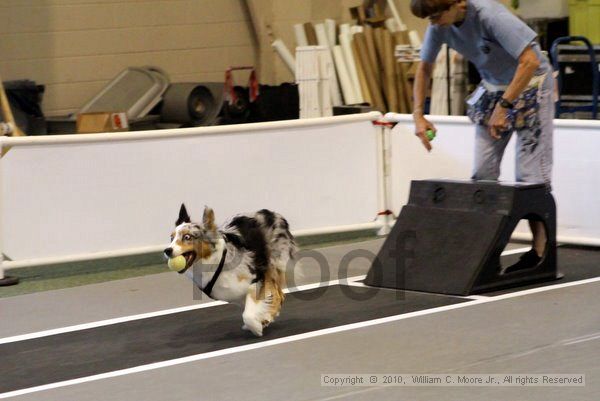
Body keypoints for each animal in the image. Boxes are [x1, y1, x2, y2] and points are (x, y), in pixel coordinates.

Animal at [164, 205, 298, 336]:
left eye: (187, 237)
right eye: (171, 238)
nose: (167, 250)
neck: (214, 263)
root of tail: (274, 214)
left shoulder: (258, 277)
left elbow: (248, 314)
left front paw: (256, 327)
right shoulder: (232, 293)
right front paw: (262, 319)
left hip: (274, 262)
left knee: (279, 294)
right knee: (279, 294)